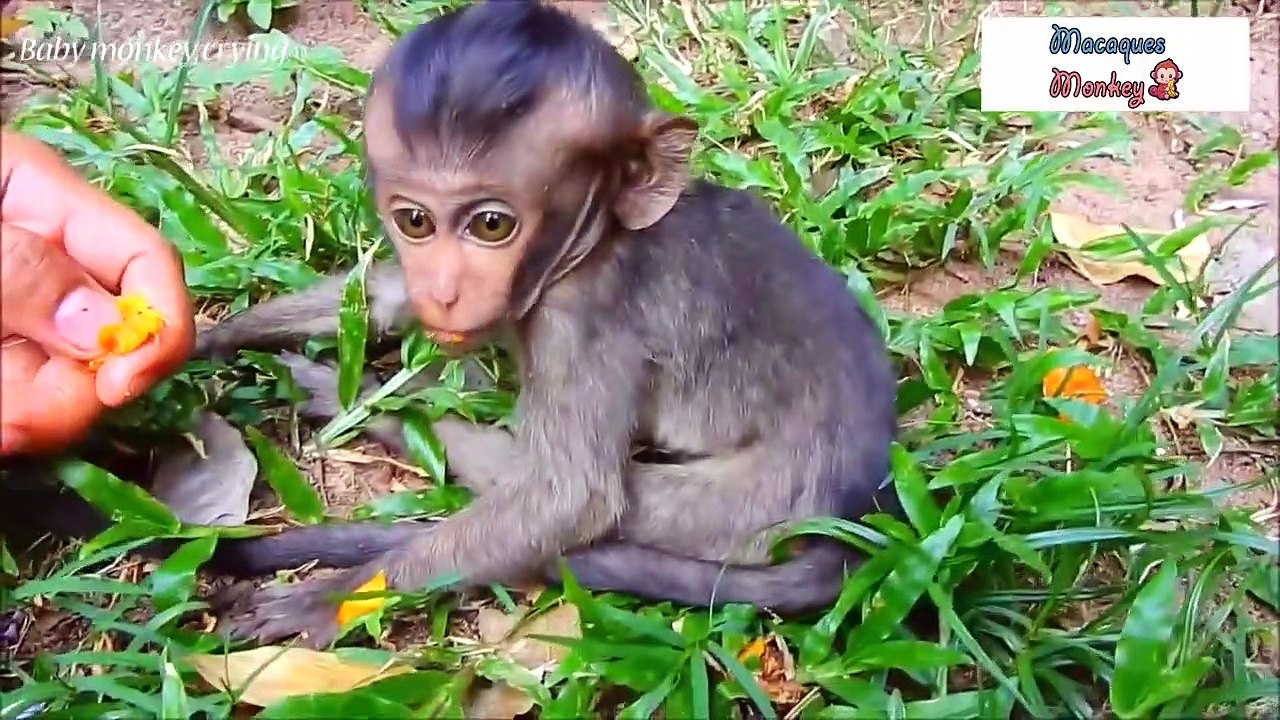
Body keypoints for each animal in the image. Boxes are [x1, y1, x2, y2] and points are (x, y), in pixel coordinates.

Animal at [187, 0, 900, 649]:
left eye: (491, 225)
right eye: (415, 221)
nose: (444, 291)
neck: (595, 239)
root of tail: (868, 501)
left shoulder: (583, 318)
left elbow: (569, 496)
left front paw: (335, 599)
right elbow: (383, 295)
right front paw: (208, 340)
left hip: (748, 507)